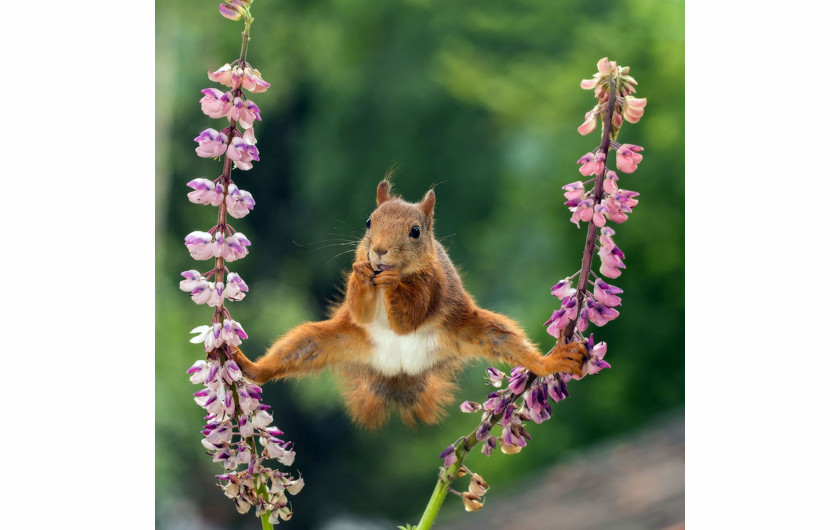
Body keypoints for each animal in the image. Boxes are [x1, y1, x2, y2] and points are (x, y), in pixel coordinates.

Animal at [226, 179, 588, 426]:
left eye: (415, 231)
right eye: (368, 222)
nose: (379, 251)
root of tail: (399, 370)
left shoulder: (433, 285)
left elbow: (408, 318)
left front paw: (392, 283)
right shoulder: (359, 303)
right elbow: (360, 310)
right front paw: (362, 275)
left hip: (475, 329)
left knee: (512, 344)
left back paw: (551, 361)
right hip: (329, 339)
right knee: (292, 352)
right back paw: (249, 366)